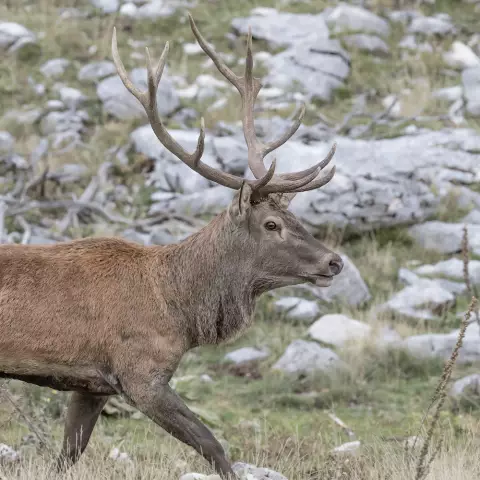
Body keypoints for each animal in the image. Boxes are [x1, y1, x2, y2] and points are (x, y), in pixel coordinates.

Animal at [0, 15, 344, 480]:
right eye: (271, 224)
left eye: (296, 219)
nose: (334, 261)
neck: (180, 309)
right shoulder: (140, 374)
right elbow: (212, 443)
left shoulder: (92, 384)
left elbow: (67, 456)